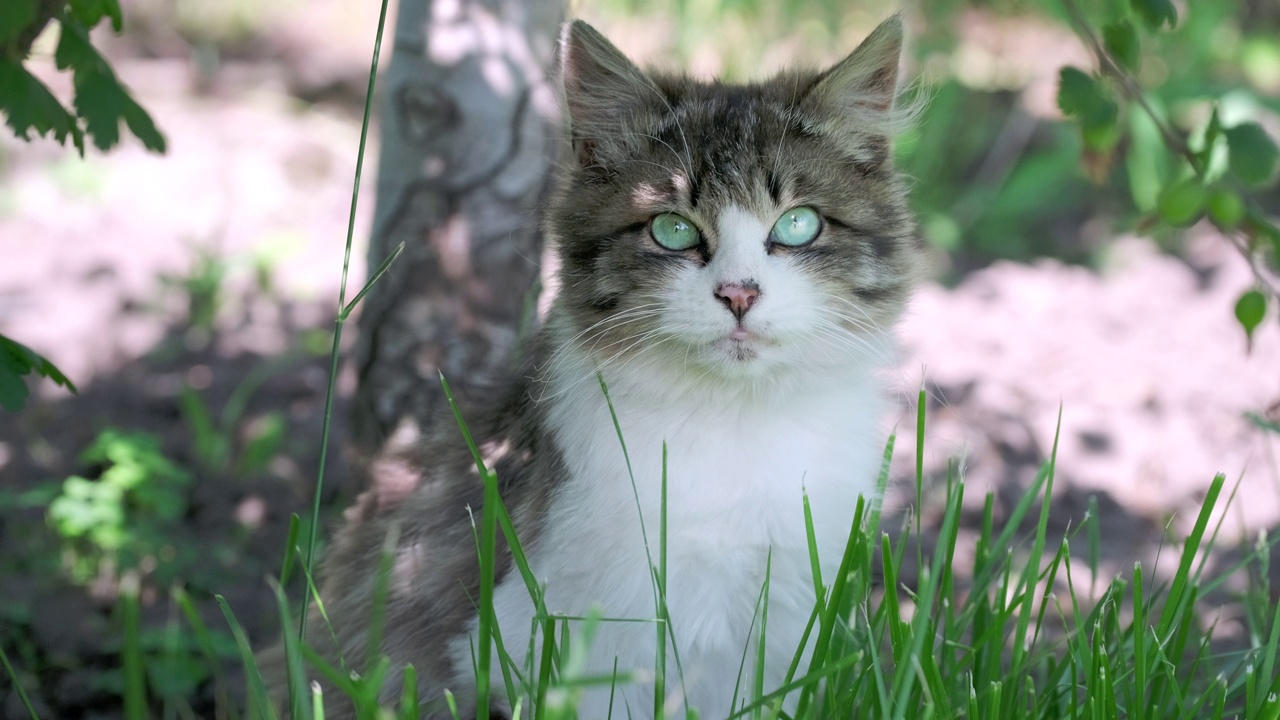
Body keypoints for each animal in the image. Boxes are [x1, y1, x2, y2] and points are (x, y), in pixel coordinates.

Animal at [262, 12, 921, 717]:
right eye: (673, 230)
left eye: (798, 225)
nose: (739, 294)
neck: (738, 425)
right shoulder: (549, 638)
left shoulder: (785, 617)